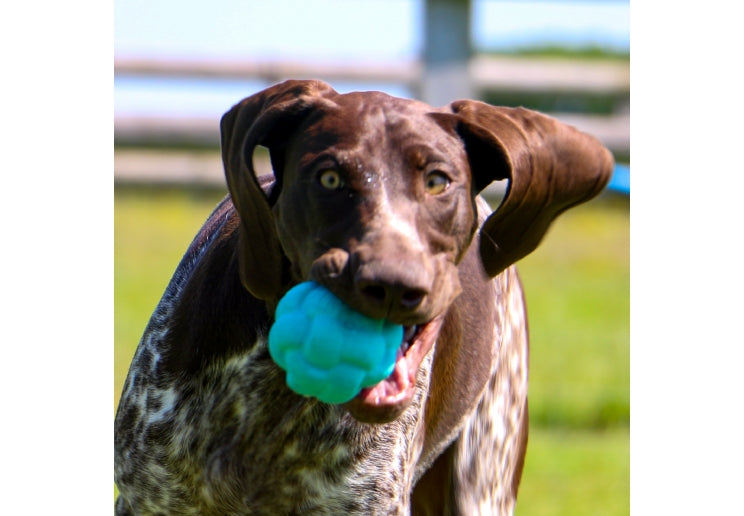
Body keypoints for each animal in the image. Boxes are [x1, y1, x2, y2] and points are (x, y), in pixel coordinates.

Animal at [112, 78, 612, 512]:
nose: (392, 285)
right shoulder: (147, 497)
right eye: (329, 179)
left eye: (438, 182)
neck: (280, 399)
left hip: (483, 481)